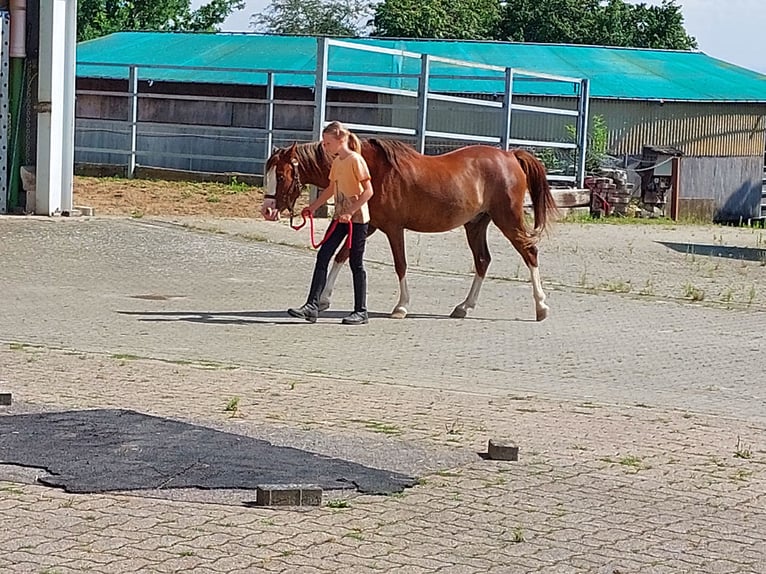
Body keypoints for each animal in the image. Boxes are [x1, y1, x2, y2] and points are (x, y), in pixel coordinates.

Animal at [261, 138, 558, 321]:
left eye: (282, 175)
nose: (267, 210)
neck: (372, 170)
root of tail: (510, 156)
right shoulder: (367, 226)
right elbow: (340, 256)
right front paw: (322, 300)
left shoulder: (393, 228)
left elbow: (400, 264)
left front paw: (401, 307)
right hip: (476, 223)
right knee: (483, 260)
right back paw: (464, 307)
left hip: (508, 218)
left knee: (530, 253)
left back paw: (541, 307)